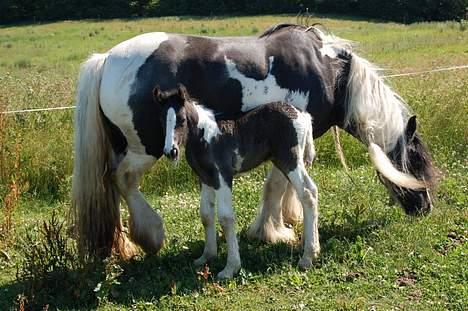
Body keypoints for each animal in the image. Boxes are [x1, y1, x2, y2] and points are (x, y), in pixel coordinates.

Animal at [71, 23, 436, 258]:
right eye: (417, 163)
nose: (425, 207)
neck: (326, 70)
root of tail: (106, 59)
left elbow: (283, 188)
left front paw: (283, 222)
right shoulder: (284, 142)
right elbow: (275, 186)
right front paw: (271, 231)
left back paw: (124, 245)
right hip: (144, 148)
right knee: (122, 179)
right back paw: (151, 236)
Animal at [155, 84, 320, 280]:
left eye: (181, 119)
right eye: (162, 120)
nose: (170, 151)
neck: (206, 138)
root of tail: (302, 114)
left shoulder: (223, 176)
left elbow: (226, 218)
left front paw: (230, 268)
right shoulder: (205, 179)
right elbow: (206, 215)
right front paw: (206, 256)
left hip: (290, 161)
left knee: (307, 193)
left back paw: (307, 257)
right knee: (310, 192)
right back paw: (311, 248)